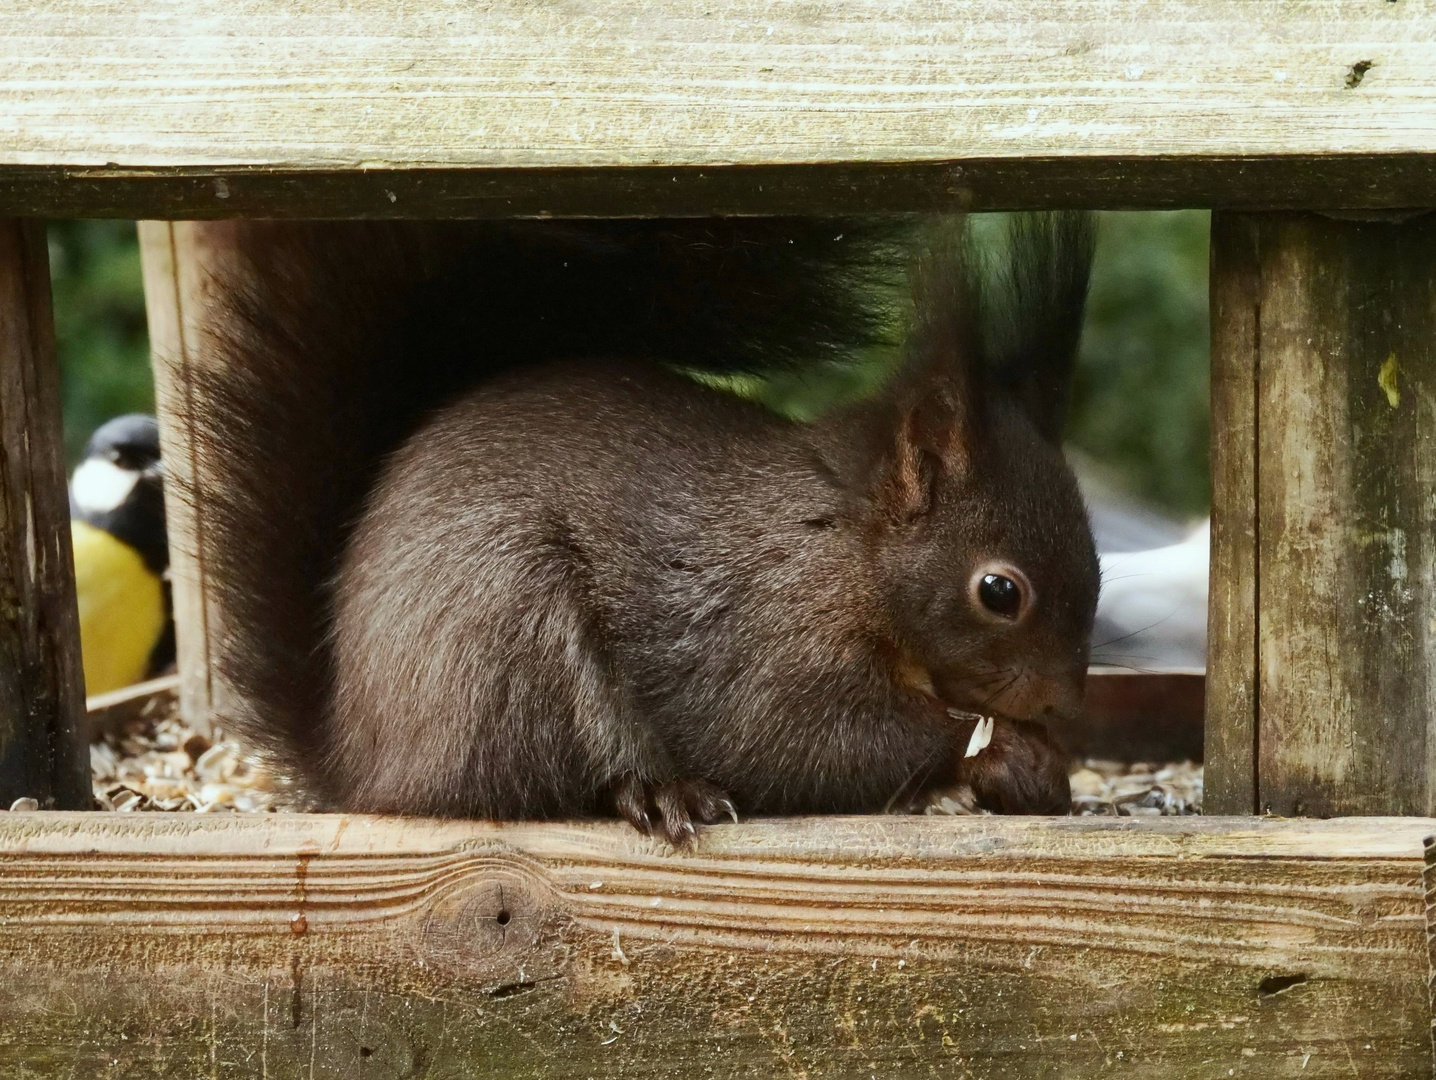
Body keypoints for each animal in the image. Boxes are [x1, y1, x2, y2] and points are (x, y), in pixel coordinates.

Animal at [182, 208, 1097, 832]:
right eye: (999, 591)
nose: (1062, 700)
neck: (845, 550)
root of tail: (357, 759)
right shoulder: (769, 648)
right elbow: (808, 743)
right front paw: (996, 749)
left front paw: (1036, 770)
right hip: (505, 628)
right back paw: (660, 793)